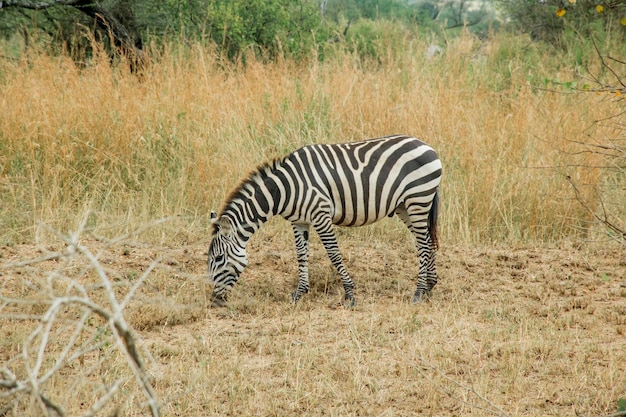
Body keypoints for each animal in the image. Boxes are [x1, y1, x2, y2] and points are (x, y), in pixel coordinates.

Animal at [207, 133, 442, 306]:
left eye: (218, 258)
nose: (213, 300)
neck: (284, 189)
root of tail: (427, 145)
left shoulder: (320, 215)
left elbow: (334, 254)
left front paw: (349, 294)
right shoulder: (299, 221)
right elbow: (302, 255)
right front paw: (299, 293)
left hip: (418, 199)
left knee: (423, 244)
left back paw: (419, 292)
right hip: (405, 206)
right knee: (426, 240)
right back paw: (430, 286)